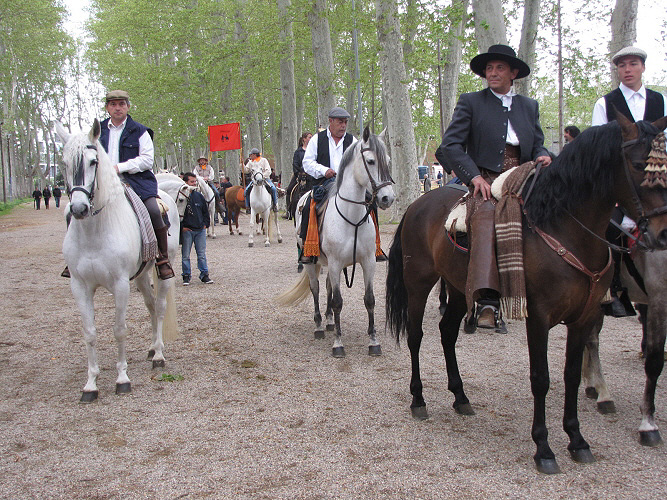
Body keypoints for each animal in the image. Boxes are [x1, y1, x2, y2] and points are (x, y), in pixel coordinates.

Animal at [56, 119, 180, 403]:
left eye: (93, 162)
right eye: (64, 163)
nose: (78, 209)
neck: (95, 230)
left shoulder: (120, 284)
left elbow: (119, 329)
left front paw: (122, 379)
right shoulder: (80, 286)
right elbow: (90, 332)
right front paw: (91, 384)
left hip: (163, 271)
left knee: (160, 307)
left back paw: (158, 355)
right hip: (142, 276)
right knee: (150, 306)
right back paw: (152, 347)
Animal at [276, 126, 395, 357]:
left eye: (387, 160)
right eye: (370, 161)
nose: (388, 198)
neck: (352, 217)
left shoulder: (368, 262)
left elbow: (369, 300)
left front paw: (373, 341)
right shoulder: (335, 262)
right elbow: (338, 301)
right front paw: (338, 344)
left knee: (329, 287)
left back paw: (330, 321)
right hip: (313, 263)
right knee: (316, 288)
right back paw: (319, 326)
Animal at [582, 248, 667, 446]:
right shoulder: (659, 296)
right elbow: (654, 362)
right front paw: (648, 424)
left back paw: (592, 384)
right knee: (592, 340)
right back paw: (603, 394)